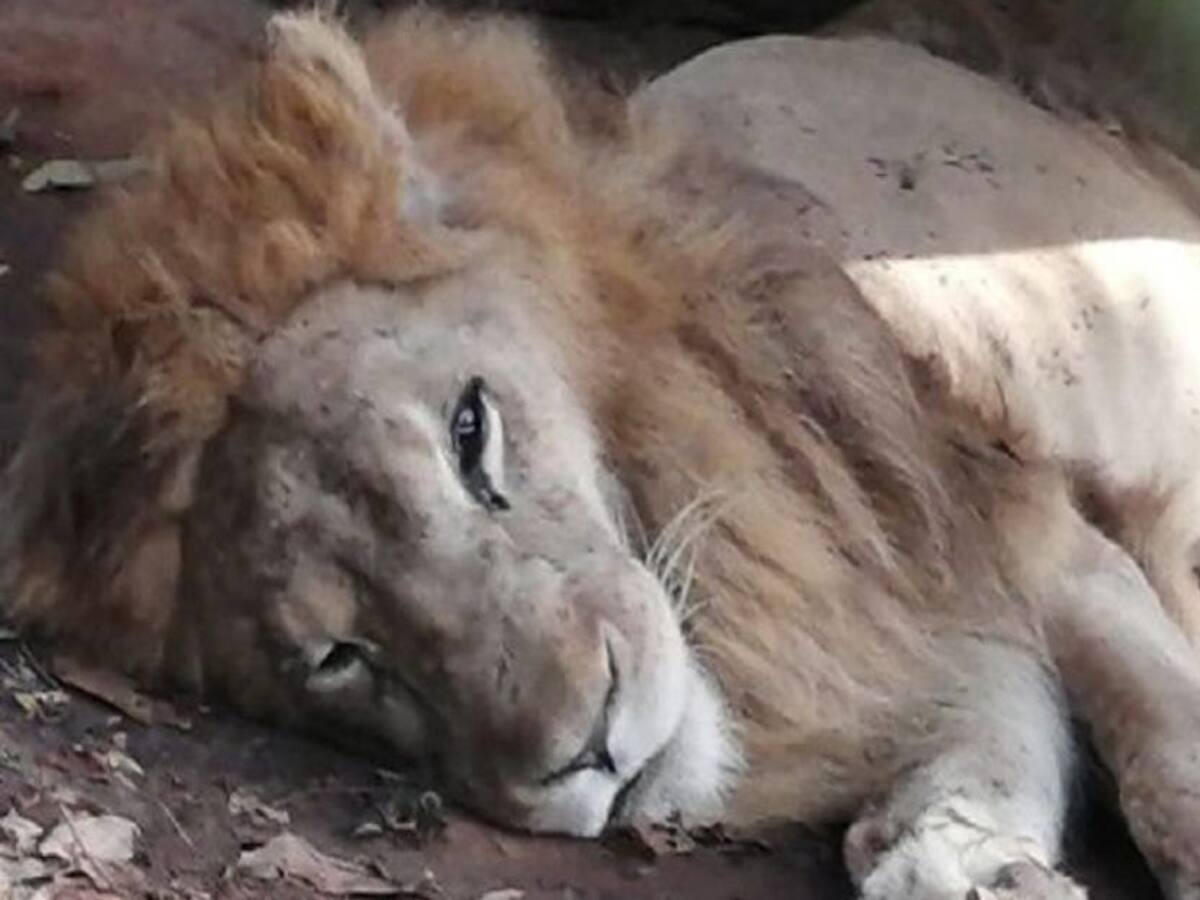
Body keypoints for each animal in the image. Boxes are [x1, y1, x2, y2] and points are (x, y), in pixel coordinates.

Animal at [3, 9, 1200, 899]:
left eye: (470, 432)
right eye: (341, 658)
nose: (589, 750)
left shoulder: (993, 513)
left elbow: (1154, 729)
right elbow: (982, 716)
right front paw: (960, 856)